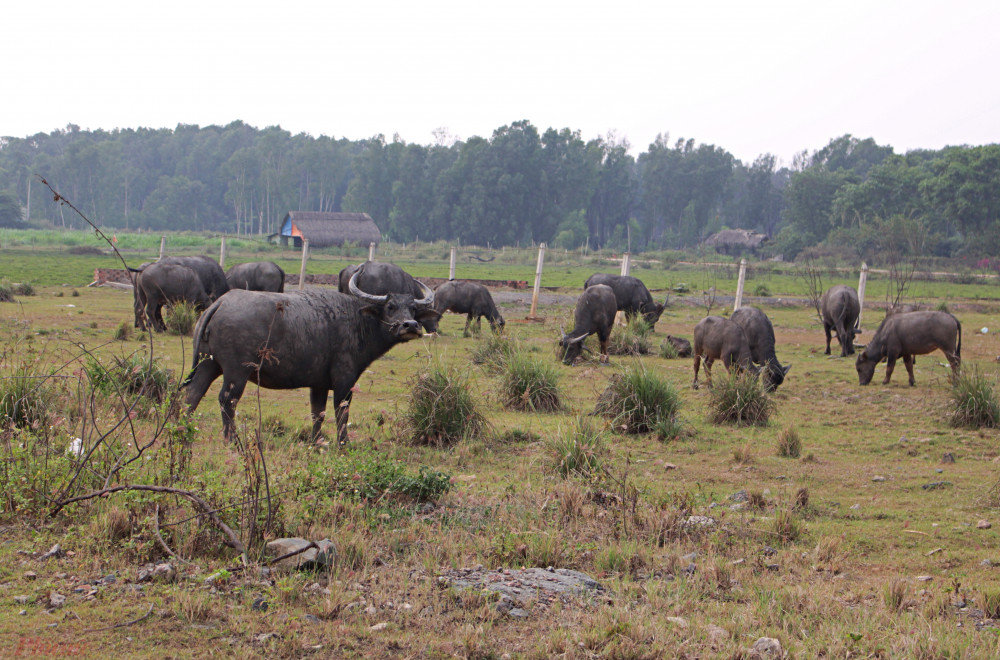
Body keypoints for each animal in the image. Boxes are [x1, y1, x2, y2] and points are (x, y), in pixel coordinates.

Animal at [185, 264, 442, 444]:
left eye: (413, 308)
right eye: (390, 307)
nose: (410, 325)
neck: (357, 321)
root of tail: (219, 304)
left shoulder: (318, 384)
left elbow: (317, 413)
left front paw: (316, 442)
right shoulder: (344, 379)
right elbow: (341, 411)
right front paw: (343, 443)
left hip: (207, 365)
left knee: (192, 395)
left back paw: (184, 430)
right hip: (236, 371)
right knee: (226, 400)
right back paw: (232, 440)